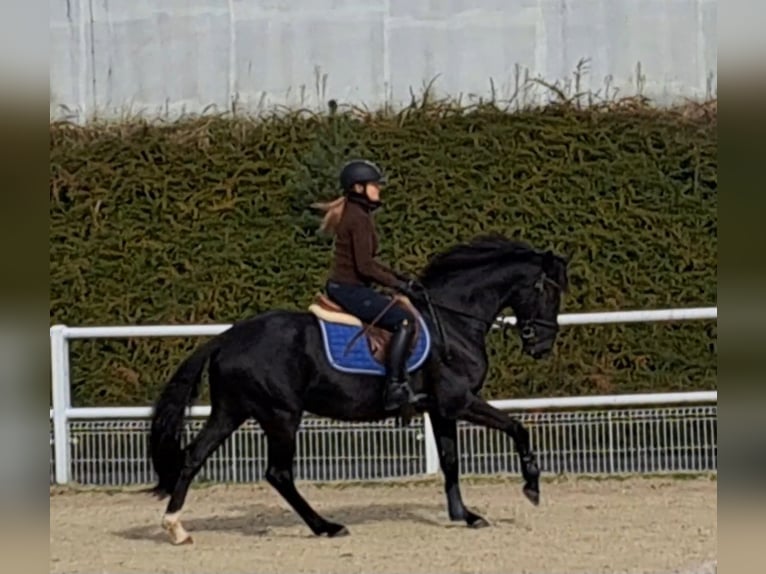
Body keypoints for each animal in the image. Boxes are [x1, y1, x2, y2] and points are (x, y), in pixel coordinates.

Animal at [150, 234, 568, 544]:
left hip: (231, 411)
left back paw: (176, 527)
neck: (453, 319)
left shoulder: (440, 408)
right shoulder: (460, 401)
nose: (543, 346)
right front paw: (532, 486)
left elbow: (451, 460)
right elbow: (517, 427)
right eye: (549, 291)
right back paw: (327, 527)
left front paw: (465, 515)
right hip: (281, 415)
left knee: (193, 457)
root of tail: (226, 338)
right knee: (278, 473)